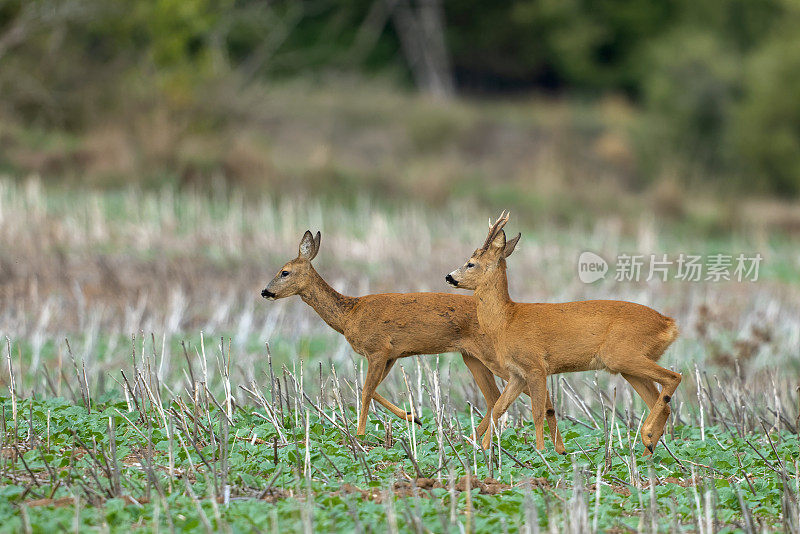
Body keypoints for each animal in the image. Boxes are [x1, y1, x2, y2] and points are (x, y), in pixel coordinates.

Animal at [260, 230, 564, 452]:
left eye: (284, 271)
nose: (265, 291)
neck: (349, 315)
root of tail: (509, 312)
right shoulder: (392, 355)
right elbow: (371, 390)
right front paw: (413, 417)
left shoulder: (378, 349)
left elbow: (365, 391)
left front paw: (359, 435)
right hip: (471, 357)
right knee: (493, 398)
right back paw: (471, 440)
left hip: (497, 357)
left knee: (529, 391)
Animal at [444, 211, 680, 454]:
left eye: (470, 264)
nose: (449, 277)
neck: (506, 320)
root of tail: (669, 323)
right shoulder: (518, 373)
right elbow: (500, 406)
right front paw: (484, 448)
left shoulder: (536, 366)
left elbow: (538, 412)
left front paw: (541, 452)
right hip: (628, 366)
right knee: (664, 404)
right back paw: (648, 450)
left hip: (622, 355)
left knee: (674, 377)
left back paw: (645, 435)